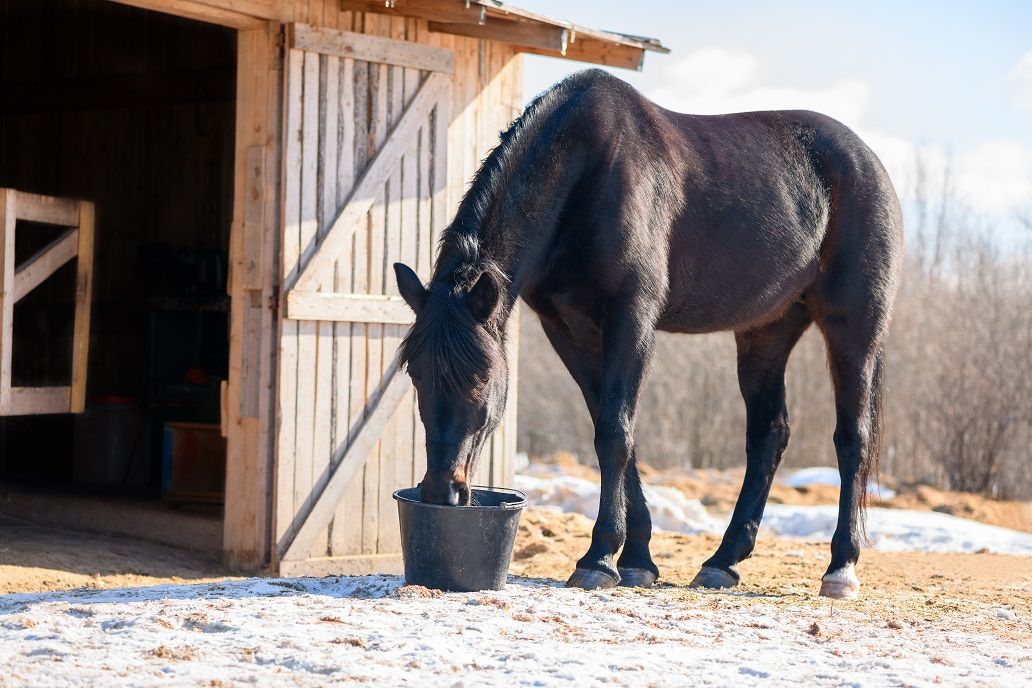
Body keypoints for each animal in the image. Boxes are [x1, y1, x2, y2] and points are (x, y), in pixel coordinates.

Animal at [394, 68, 904, 598]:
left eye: (480, 378)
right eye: (415, 375)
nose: (442, 491)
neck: (586, 172)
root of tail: (868, 162)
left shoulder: (632, 318)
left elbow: (615, 433)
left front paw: (598, 560)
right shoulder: (570, 332)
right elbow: (617, 433)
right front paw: (636, 558)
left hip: (854, 327)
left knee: (852, 437)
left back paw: (841, 567)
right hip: (766, 332)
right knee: (769, 434)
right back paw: (723, 562)